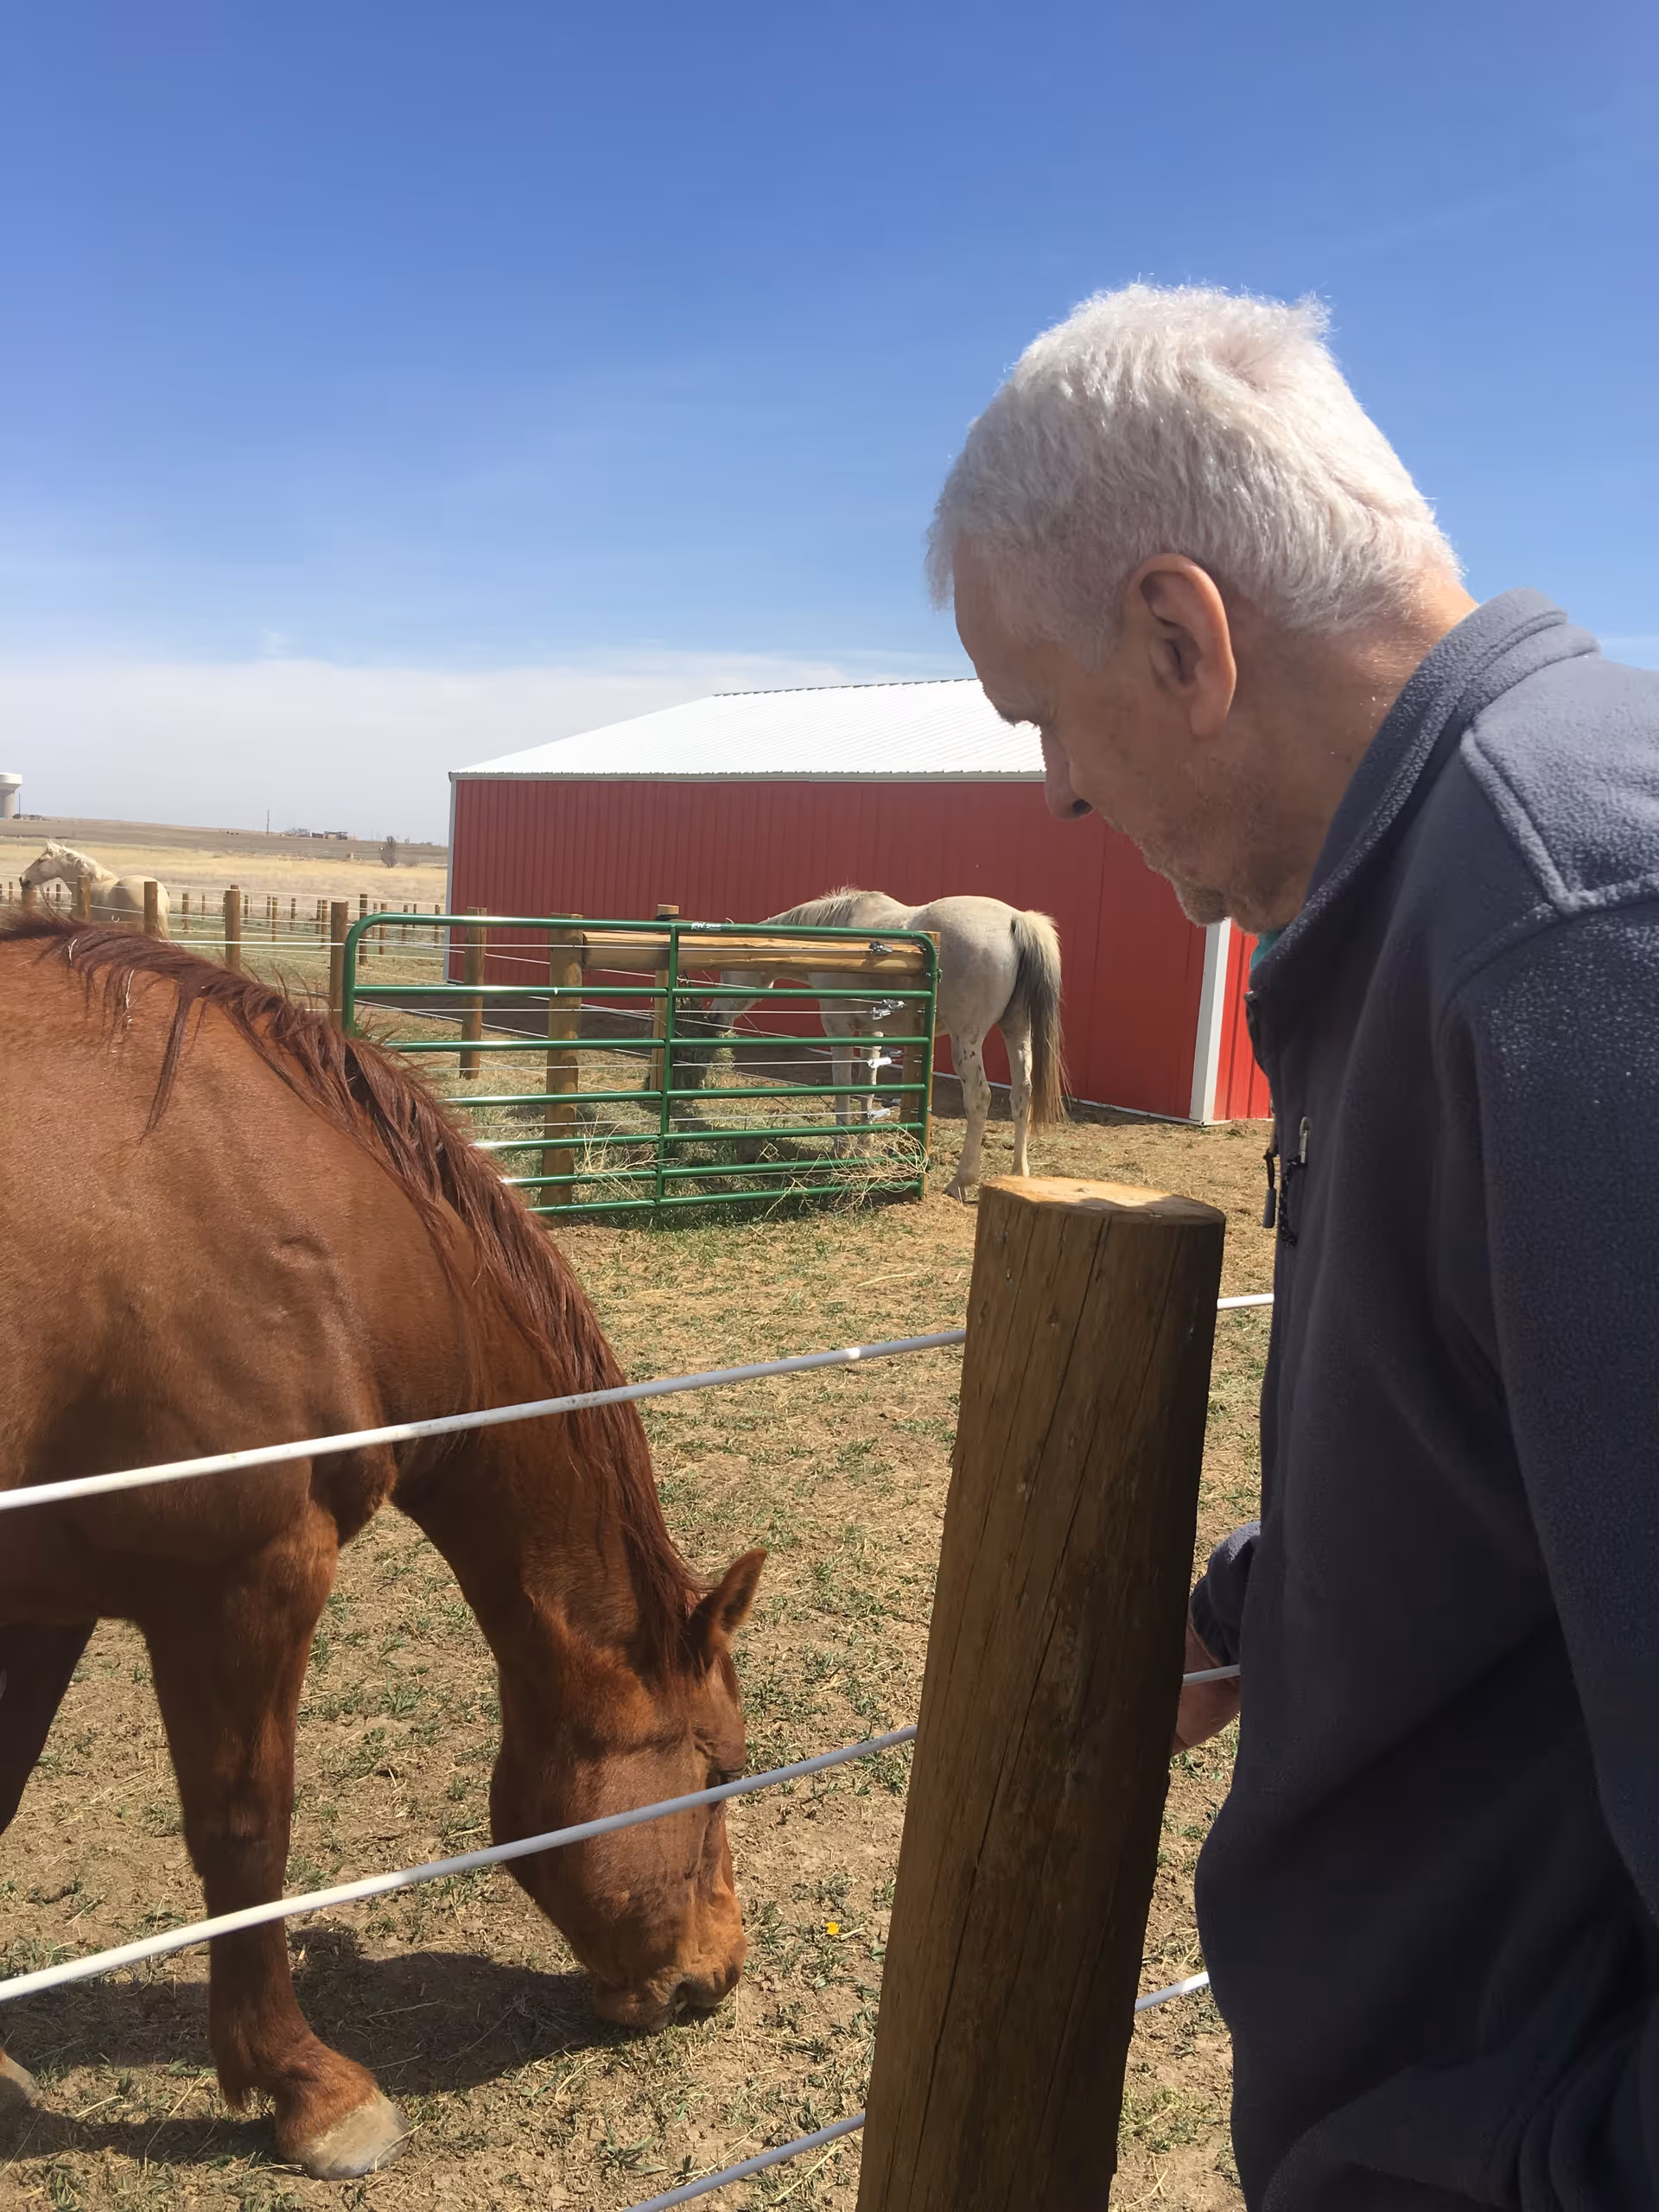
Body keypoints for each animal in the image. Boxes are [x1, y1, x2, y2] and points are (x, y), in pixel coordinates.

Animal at [0, 914, 765, 2180]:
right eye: (717, 1773)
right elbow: (246, 1834)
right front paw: (306, 2089)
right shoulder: (245, 1581)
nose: (719, 1975)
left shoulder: (47, 1596)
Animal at [694, 890, 1066, 1201]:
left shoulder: (839, 1030)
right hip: (1016, 1031)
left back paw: (961, 1181)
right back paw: (1018, 1174)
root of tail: (1016, 920)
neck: (838, 943)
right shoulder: (873, 1032)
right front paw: (863, 1146)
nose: (713, 1018)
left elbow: (843, 1086)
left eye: (727, 969)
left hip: (968, 1039)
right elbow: (866, 1088)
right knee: (1021, 1094)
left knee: (980, 1097)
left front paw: (841, 1147)